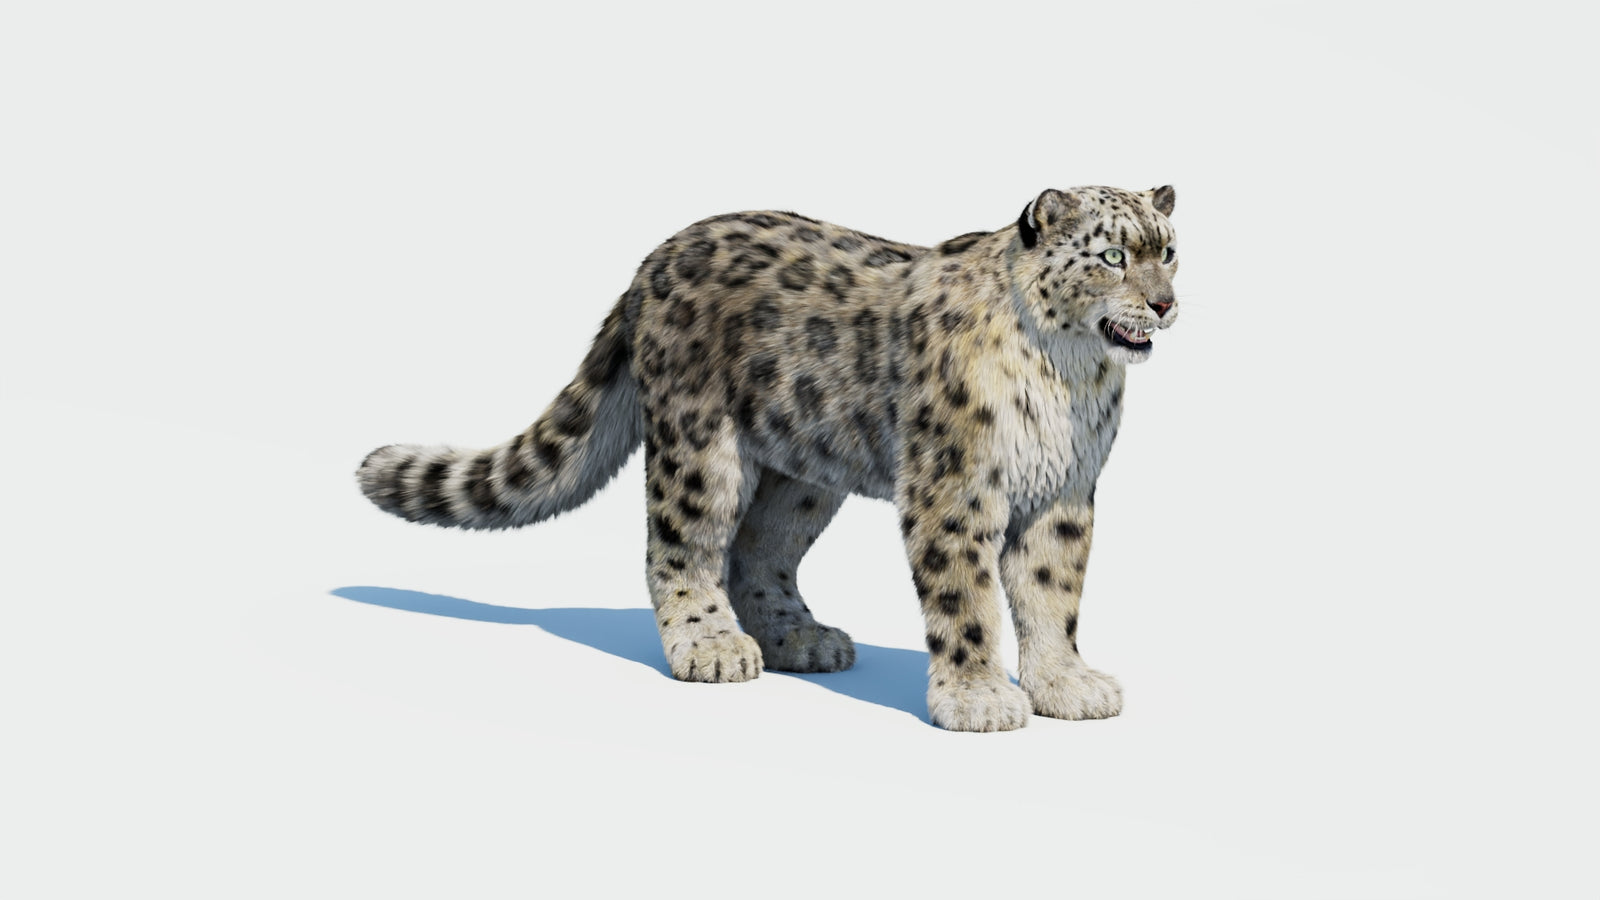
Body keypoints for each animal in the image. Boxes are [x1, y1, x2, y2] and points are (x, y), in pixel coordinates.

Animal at [357, 185, 1179, 732]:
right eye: (1112, 256)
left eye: (1168, 251)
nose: (1166, 303)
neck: (1069, 378)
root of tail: (651, 262)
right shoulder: (956, 488)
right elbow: (967, 596)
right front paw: (977, 699)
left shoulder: (1064, 493)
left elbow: (1052, 593)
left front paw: (1067, 686)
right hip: (701, 446)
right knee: (682, 545)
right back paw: (713, 646)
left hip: (801, 471)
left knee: (759, 548)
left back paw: (798, 637)